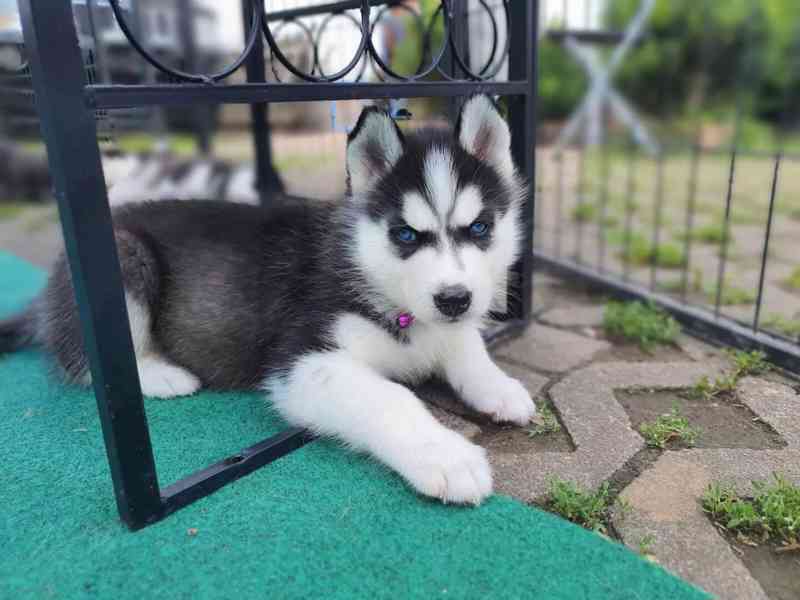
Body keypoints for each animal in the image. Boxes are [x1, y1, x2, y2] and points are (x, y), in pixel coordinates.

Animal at [3, 95, 536, 506]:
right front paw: (446, 455)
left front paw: (499, 386)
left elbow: (466, 347)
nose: (454, 299)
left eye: (480, 228)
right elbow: (391, 396)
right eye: (405, 235)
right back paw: (160, 373)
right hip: (123, 257)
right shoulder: (301, 362)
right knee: (89, 365)